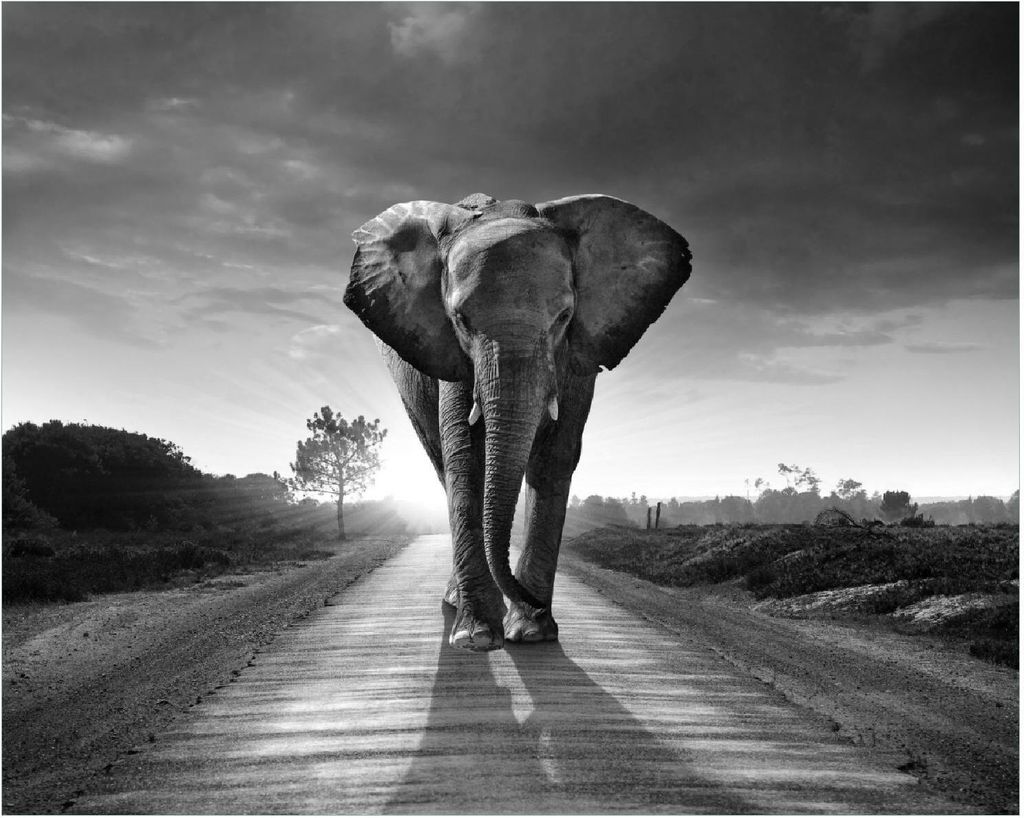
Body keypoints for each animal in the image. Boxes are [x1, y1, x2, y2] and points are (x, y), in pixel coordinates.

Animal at [344, 193, 691, 651]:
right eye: (460, 319)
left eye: (564, 317)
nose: (534, 604)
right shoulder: (451, 356)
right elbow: (466, 457)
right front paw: (477, 637)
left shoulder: (577, 355)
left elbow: (554, 457)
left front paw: (531, 632)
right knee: (441, 464)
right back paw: (457, 603)